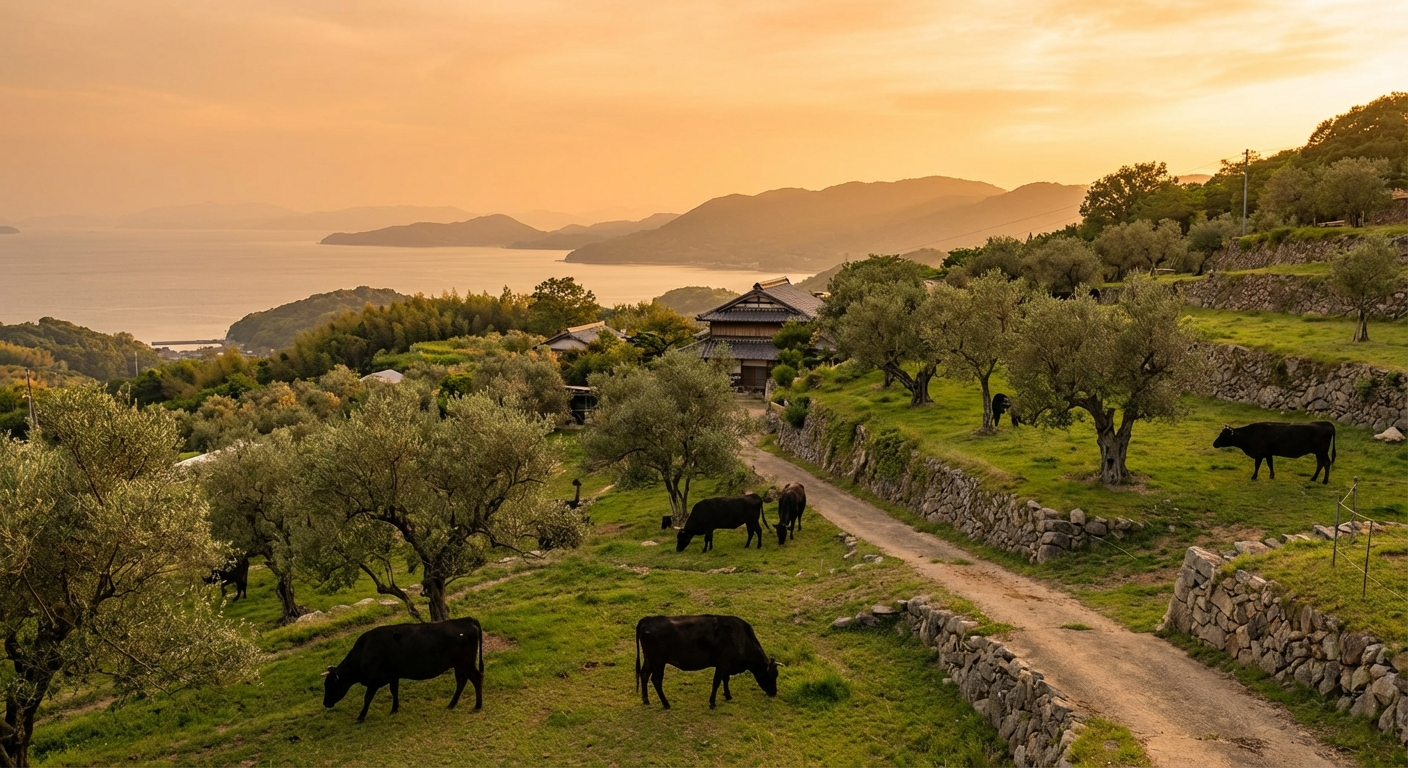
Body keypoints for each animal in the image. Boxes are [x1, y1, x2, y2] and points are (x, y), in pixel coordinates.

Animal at [322, 617, 485, 722]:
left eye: (330, 685)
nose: (325, 703)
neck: (364, 651)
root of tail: (466, 619)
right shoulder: (393, 675)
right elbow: (394, 691)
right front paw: (394, 709)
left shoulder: (374, 679)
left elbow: (367, 698)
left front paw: (361, 717)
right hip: (459, 665)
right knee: (462, 681)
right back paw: (452, 704)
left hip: (466, 663)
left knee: (476, 679)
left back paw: (477, 706)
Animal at [635, 614, 782, 709]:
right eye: (772, 675)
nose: (774, 693)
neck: (741, 638)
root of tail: (648, 619)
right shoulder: (723, 663)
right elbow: (716, 682)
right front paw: (712, 703)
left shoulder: (726, 665)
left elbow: (725, 679)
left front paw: (728, 696)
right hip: (658, 662)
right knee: (656, 680)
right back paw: (666, 704)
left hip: (649, 659)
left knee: (644, 674)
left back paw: (646, 700)